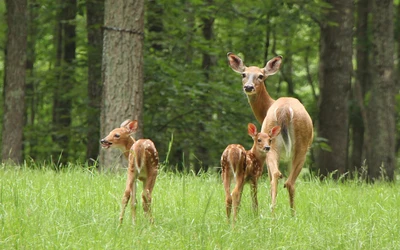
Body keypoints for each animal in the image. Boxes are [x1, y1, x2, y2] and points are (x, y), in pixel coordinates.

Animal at [228, 51, 312, 214]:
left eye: (261, 76)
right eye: (243, 74)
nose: (248, 87)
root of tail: (284, 110)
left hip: (278, 144)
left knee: (278, 177)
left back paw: (276, 212)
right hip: (297, 146)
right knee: (286, 180)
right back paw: (285, 213)